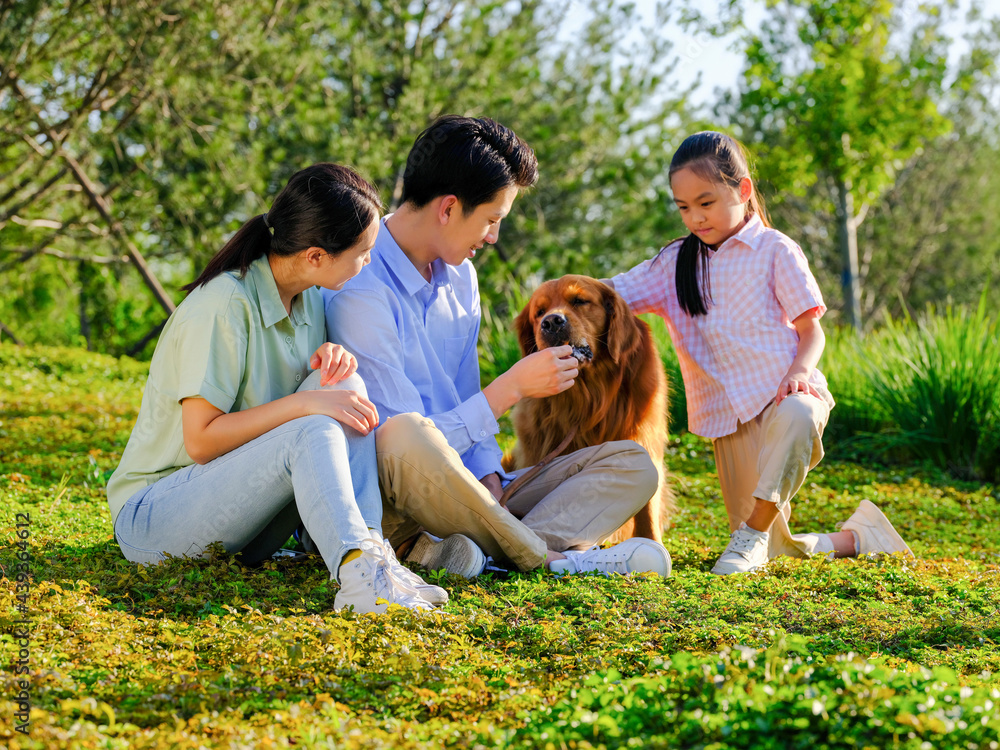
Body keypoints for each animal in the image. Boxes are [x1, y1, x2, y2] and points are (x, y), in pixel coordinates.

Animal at [512, 274, 676, 544]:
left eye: (579, 301)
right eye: (539, 312)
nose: (552, 322)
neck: (589, 397)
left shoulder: (644, 439)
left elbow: (648, 510)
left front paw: (652, 542)